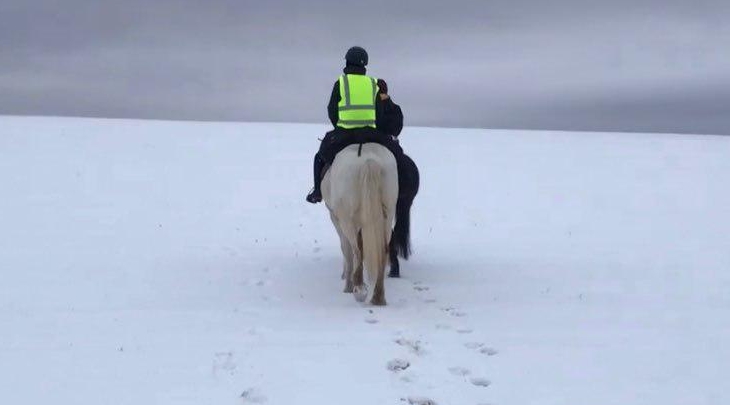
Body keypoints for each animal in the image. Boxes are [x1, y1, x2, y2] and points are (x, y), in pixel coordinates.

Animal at [320, 144, 396, 304]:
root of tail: (369, 161)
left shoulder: (336, 219)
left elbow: (346, 250)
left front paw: (346, 282)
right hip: (388, 215)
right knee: (383, 251)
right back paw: (378, 296)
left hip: (347, 220)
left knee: (356, 251)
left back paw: (357, 289)